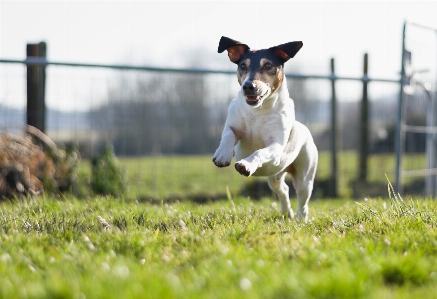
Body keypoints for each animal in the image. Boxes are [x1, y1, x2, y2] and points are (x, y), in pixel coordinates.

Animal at [212, 36, 316, 221]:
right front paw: (223, 155)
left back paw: (300, 220)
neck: (258, 111)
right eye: (242, 66)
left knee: (302, 201)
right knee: (283, 190)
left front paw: (246, 165)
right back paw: (286, 213)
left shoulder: (276, 145)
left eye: (268, 65)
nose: (248, 86)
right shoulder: (233, 125)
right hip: (275, 177)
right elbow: (228, 135)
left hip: (305, 176)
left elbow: (260, 152)